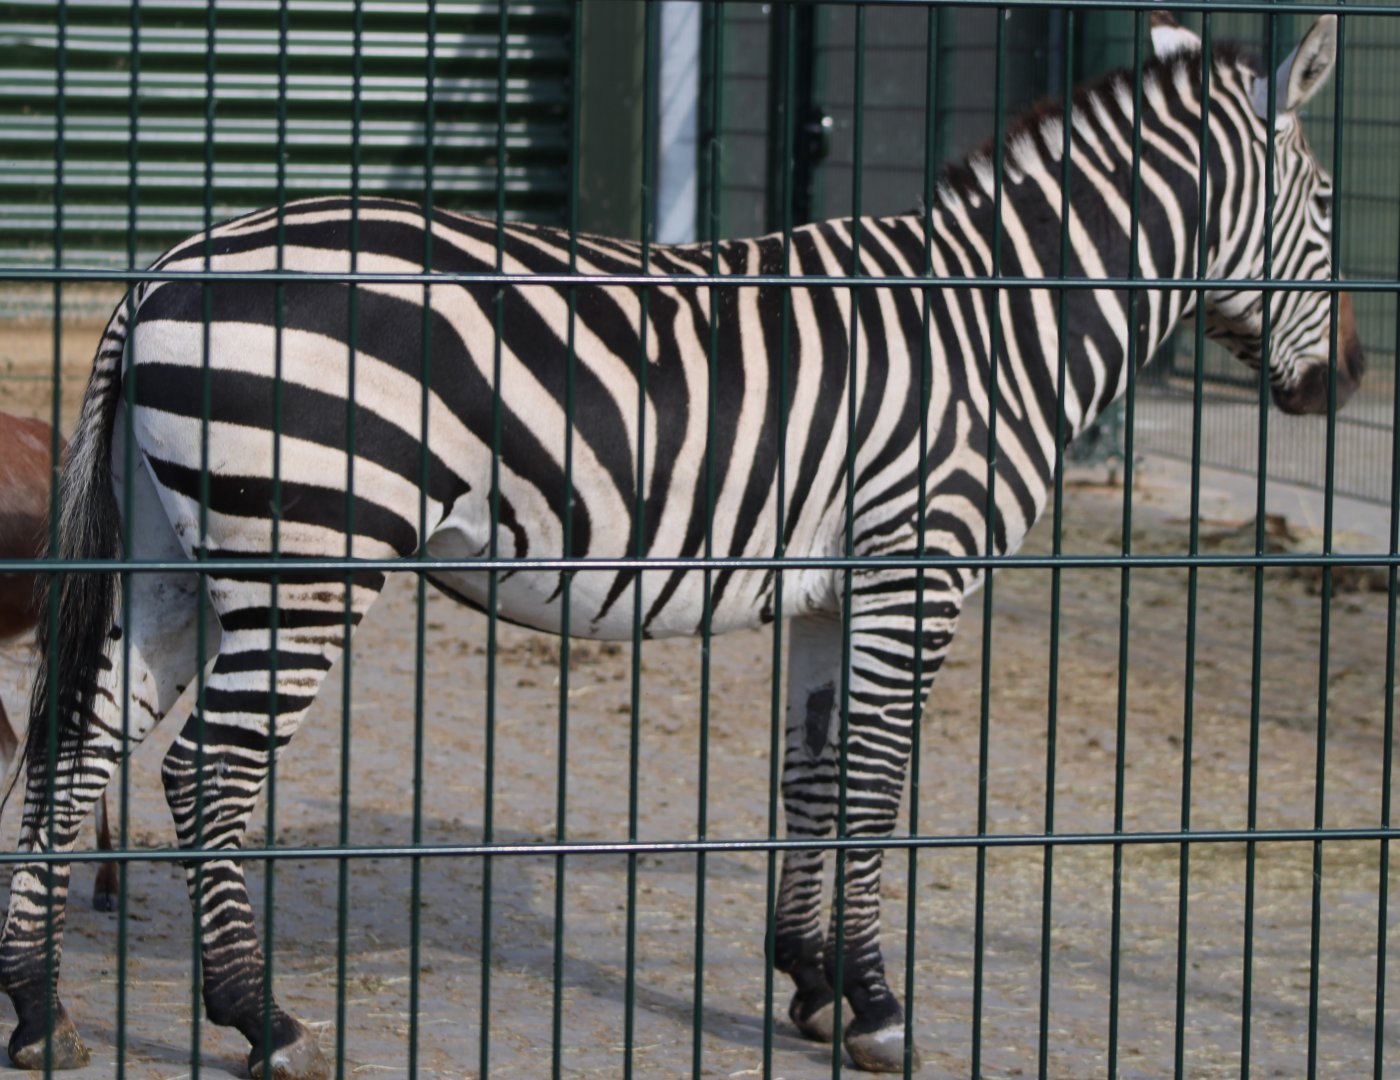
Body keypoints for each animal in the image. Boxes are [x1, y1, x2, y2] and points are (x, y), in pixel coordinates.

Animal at [0, 12, 1362, 1078]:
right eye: (1327, 204)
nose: (1346, 382)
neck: (997, 328)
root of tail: (162, 270)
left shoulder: (833, 589)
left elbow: (814, 777)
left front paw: (808, 981)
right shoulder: (915, 566)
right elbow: (876, 785)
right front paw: (878, 1009)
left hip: (175, 563)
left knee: (72, 758)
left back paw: (38, 1012)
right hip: (306, 558)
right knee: (204, 775)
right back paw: (261, 1022)